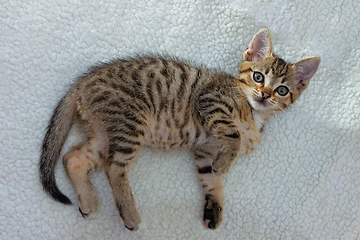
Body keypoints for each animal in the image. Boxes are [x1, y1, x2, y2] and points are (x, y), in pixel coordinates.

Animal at [39, 28, 320, 231]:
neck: (253, 114)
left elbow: (211, 179)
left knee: (73, 157)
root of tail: (82, 82)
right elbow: (233, 135)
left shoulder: (204, 150)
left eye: (282, 90)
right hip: (132, 123)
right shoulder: (211, 101)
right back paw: (129, 212)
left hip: (104, 134)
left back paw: (89, 199)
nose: (264, 94)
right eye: (258, 76)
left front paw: (214, 207)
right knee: (114, 168)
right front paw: (226, 162)